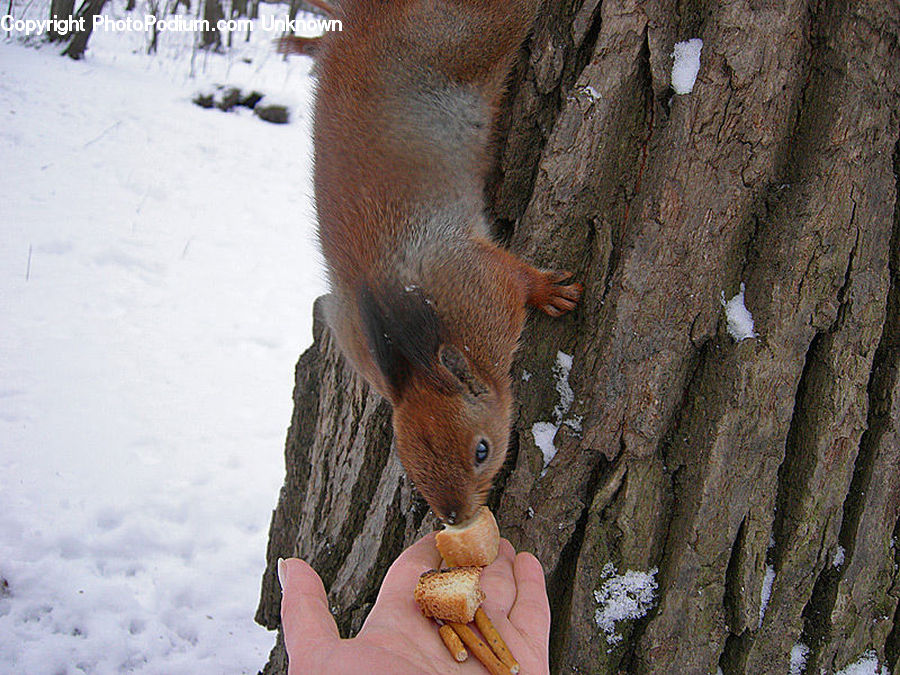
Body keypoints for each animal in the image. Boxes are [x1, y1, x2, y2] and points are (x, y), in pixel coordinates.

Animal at [290, 0, 582, 525]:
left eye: (482, 450)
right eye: (408, 464)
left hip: (474, 35)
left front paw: (551, 293)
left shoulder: (482, 283)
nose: (455, 518)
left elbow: (518, 278)